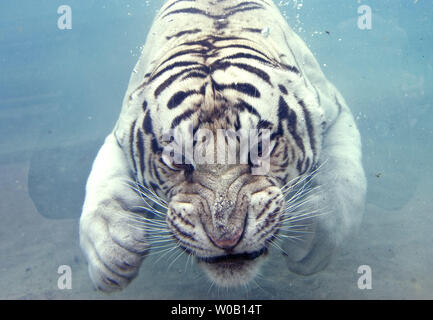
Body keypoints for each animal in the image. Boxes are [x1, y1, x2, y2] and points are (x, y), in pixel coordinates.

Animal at [78, 0, 364, 292]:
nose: (226, 238)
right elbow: (103, 186)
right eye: (176, 160)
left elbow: (342, 185)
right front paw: (110, 256)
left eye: (260, 148)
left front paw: (310, 244)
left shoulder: (334, 111)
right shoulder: (119, 134)